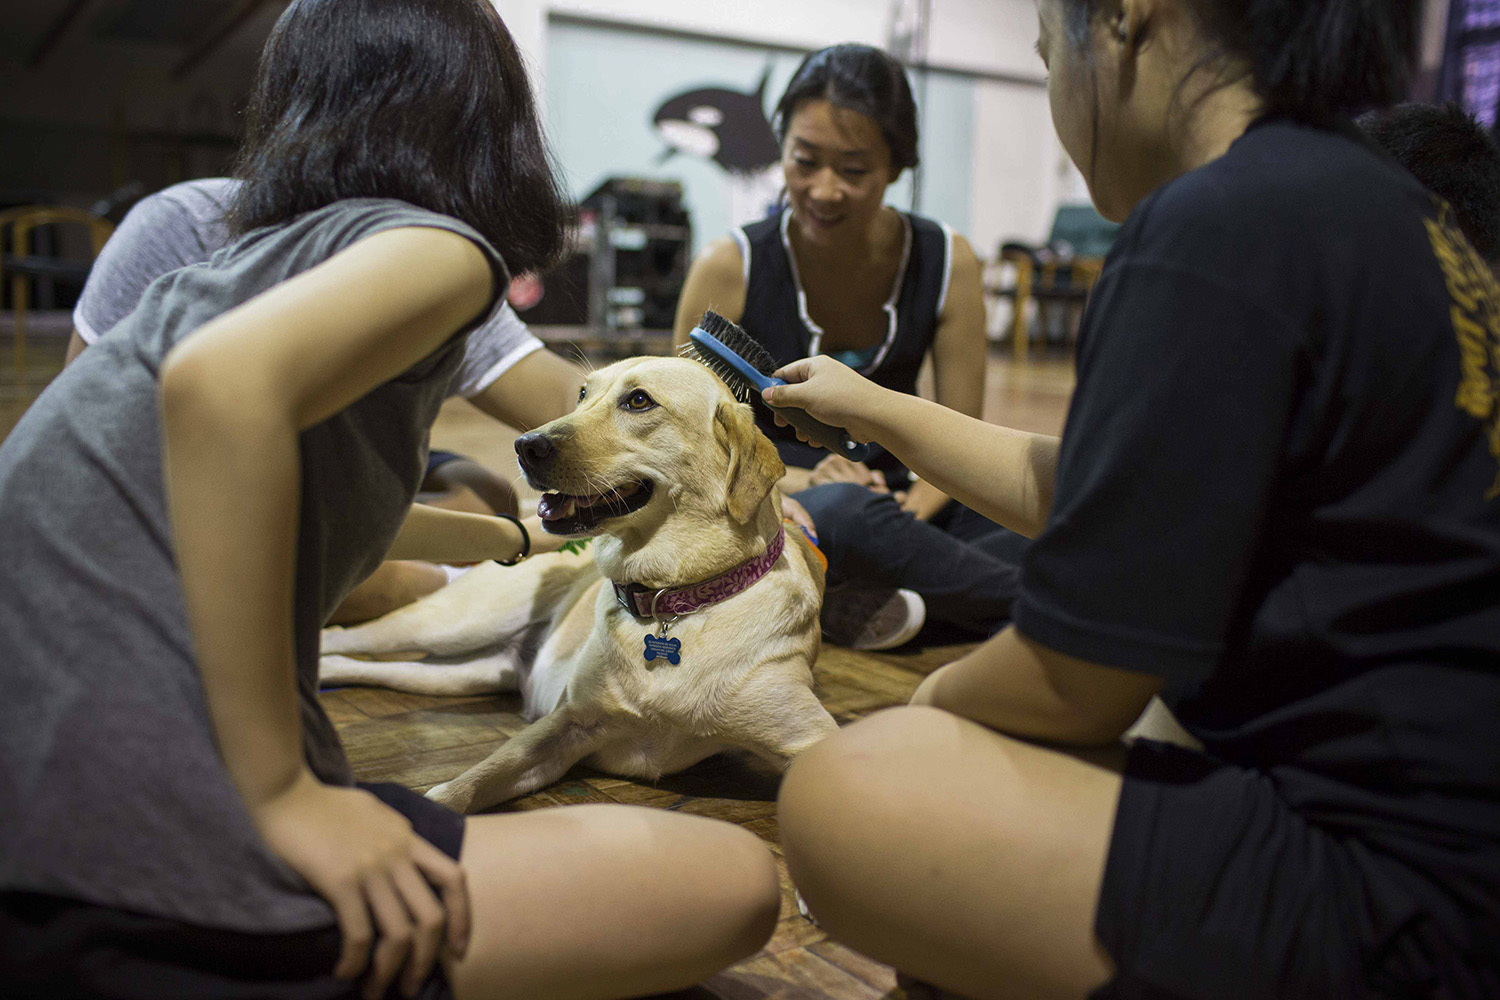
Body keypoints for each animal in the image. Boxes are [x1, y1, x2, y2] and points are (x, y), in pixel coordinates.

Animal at [318, 358, 840, 815]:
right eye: (583, 394)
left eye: (638, 400)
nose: (524, 445)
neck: (672, 599)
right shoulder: (564, 724)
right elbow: (470, 780)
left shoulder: (811, 741)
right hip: (453, 624)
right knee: (347, 636)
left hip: (460, 673)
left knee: (367, 664)